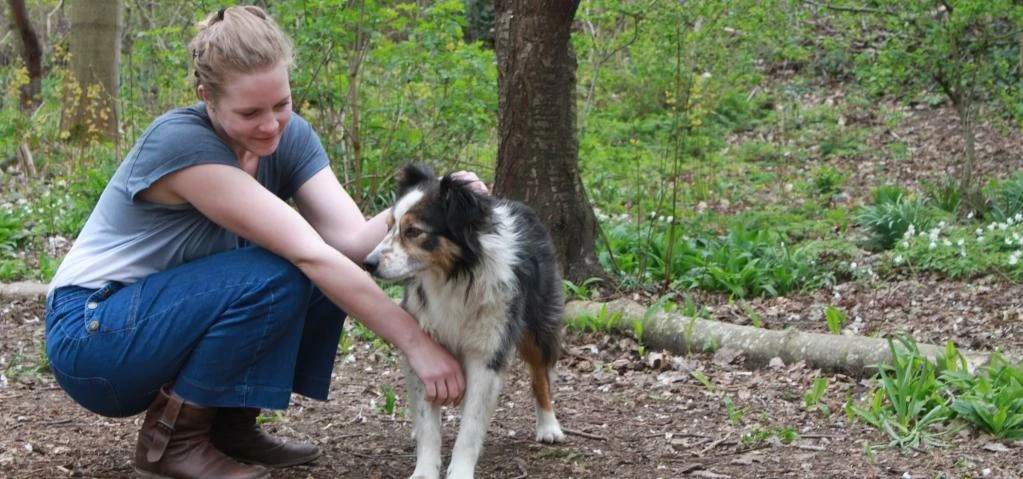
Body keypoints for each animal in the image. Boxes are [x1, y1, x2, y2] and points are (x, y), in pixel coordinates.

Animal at [362, 162, 568, 476]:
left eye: (413, 231)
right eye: (388, 227)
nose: (368, 263)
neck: (454, 276)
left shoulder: (487, 353)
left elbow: (471, 427)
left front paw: (459, 471)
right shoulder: (424, 347)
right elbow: (429, 424)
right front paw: (424, 471)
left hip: (537, 324)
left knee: (540, 374)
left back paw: (548, 425)